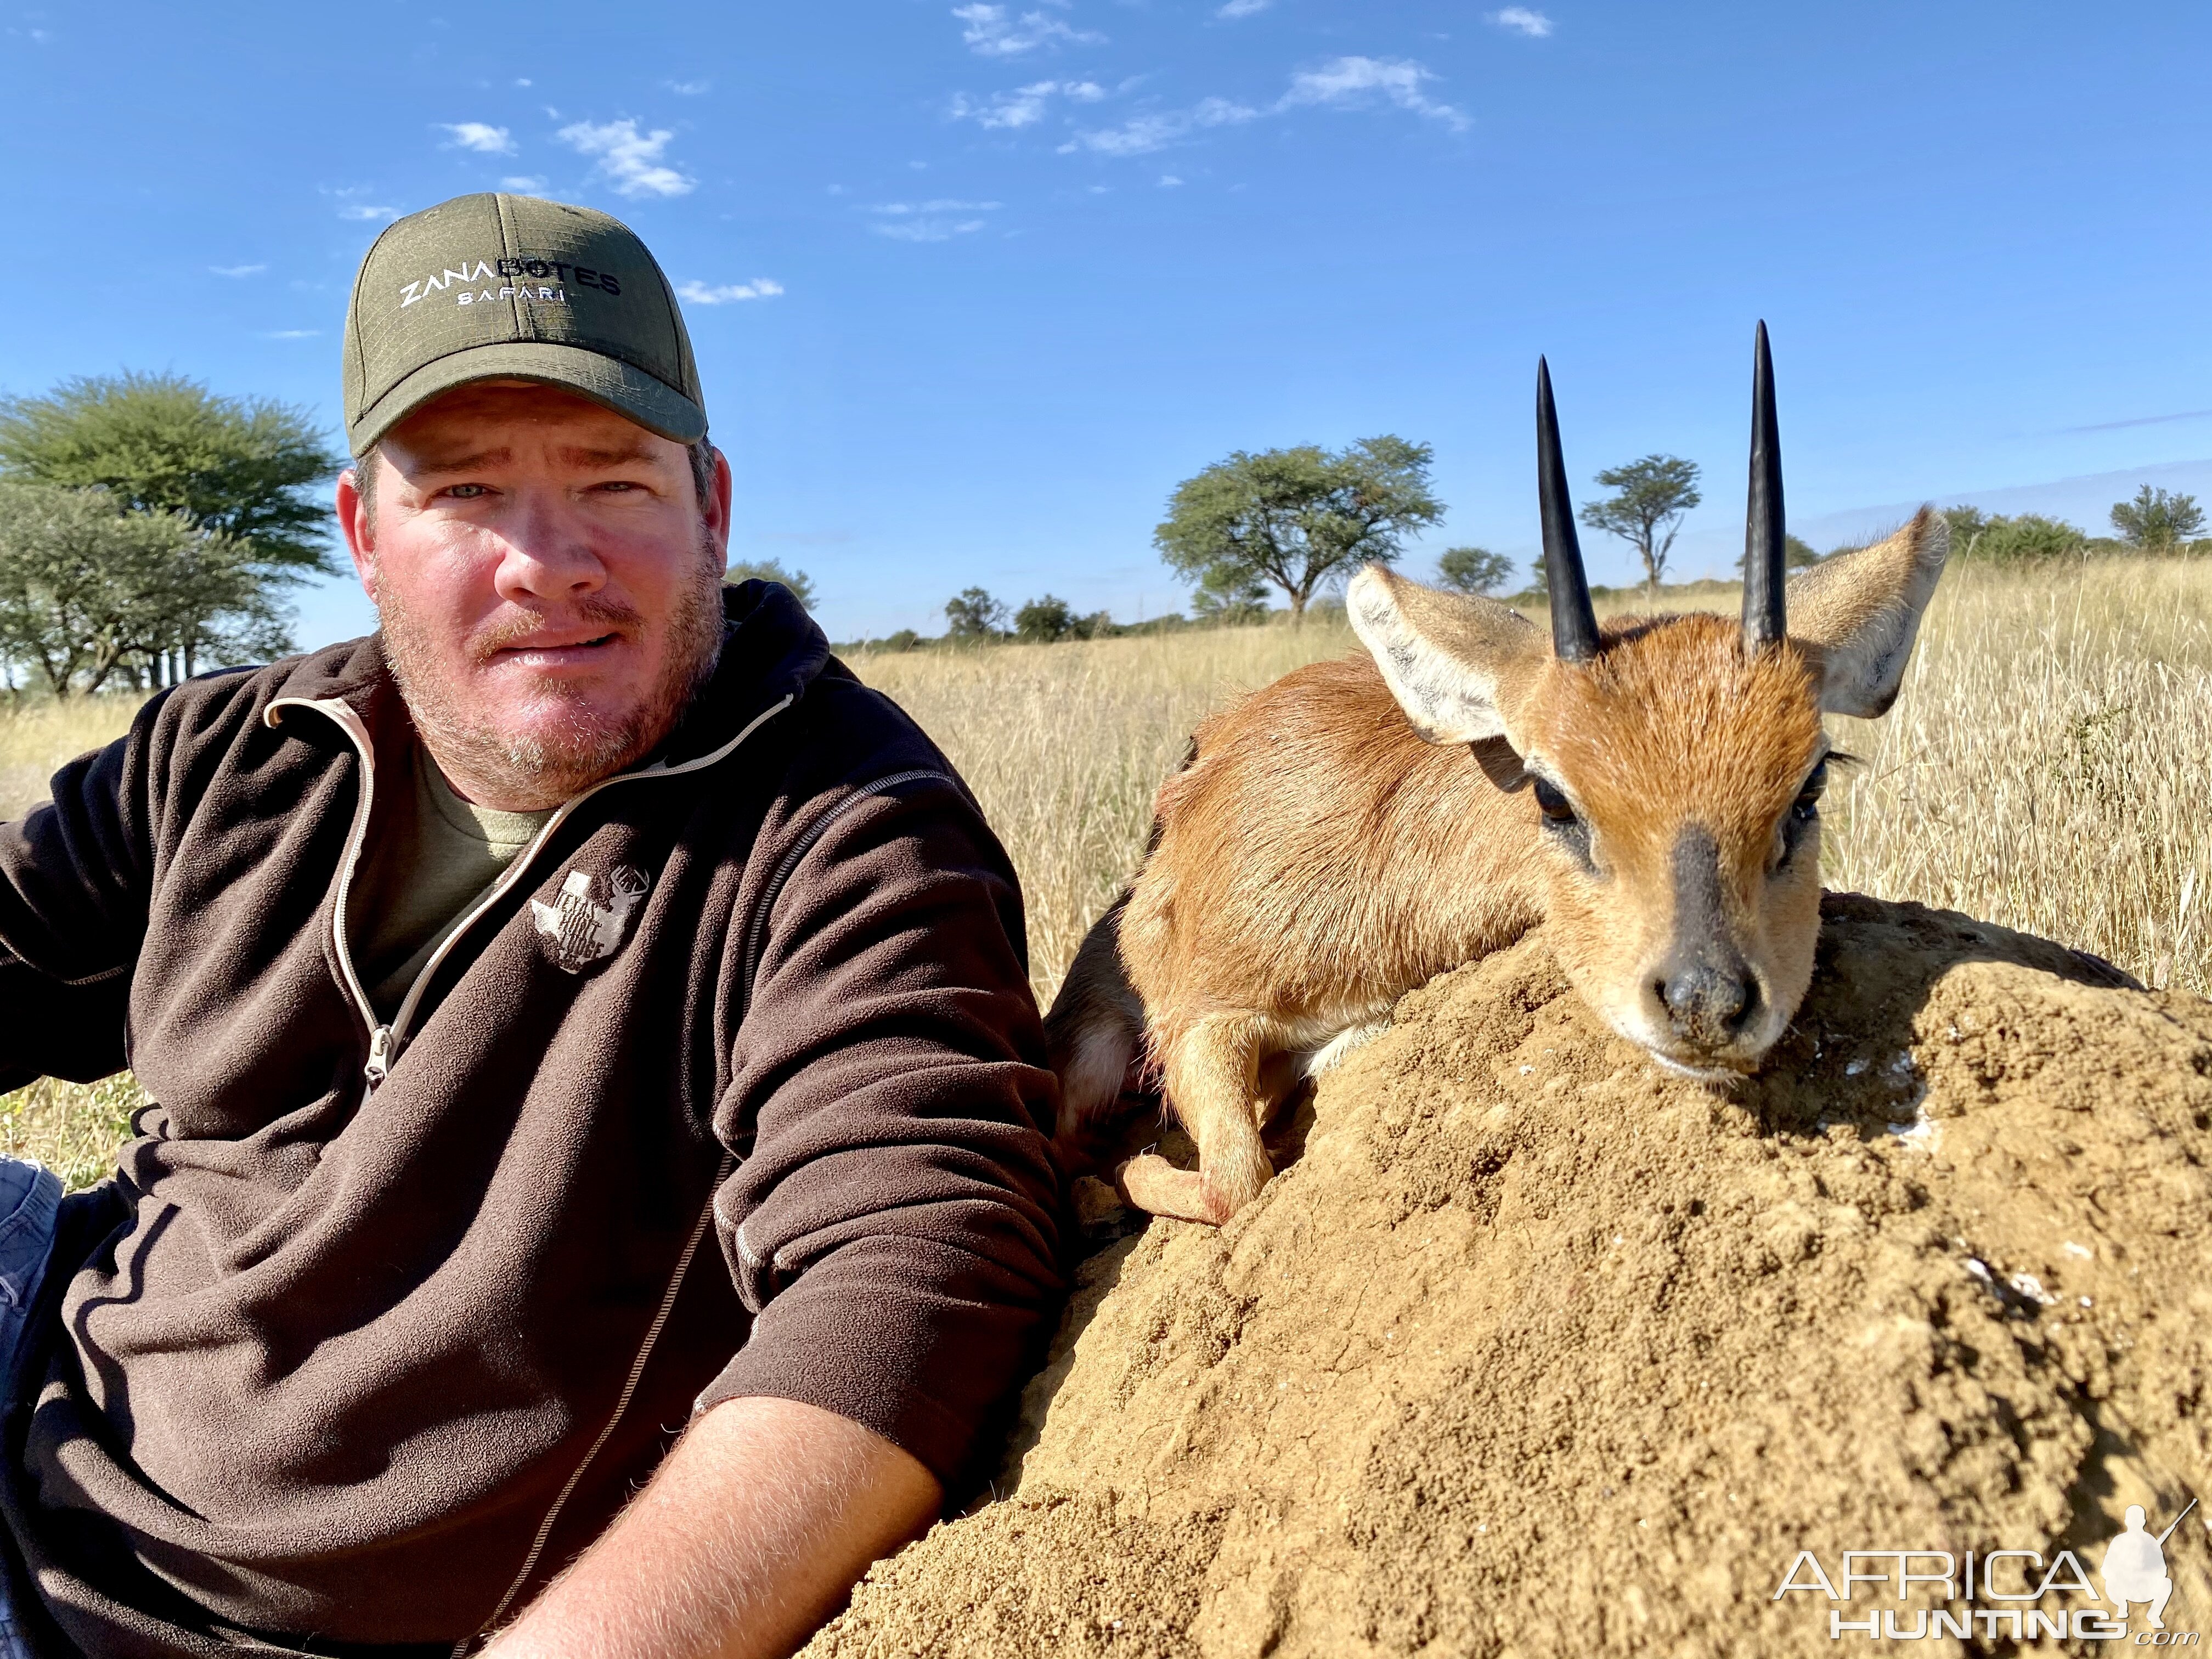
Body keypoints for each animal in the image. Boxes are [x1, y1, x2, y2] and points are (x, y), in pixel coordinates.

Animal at [1053, 327, 1955, 1238]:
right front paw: (1122, 1176)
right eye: (1553, 795)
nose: (1706, 1002)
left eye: (1809, 788)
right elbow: (1235, 1180)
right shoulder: (1199, 1021)